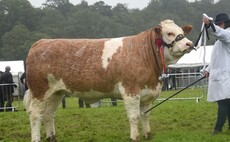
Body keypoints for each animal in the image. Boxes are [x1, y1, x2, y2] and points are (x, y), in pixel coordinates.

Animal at [24, 19, 194, 142]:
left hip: (56, 93)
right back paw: (36, 139)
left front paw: (148, 135)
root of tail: (42, 42)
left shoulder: (147, 93)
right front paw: (134, 137)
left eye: (181, 32)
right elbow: (134, 116)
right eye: (170, 33)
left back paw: (52, 137)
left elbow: (145, 115)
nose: (189, 44)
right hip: (40, 91)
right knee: (35, 114)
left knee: (48, 114)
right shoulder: (130, 90)